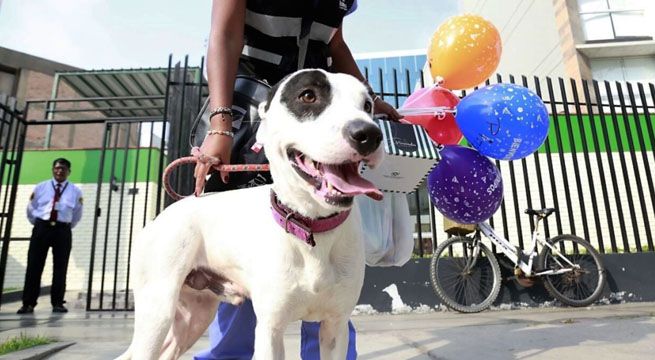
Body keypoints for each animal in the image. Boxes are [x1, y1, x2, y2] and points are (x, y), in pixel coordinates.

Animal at [118, 69, 384, 358]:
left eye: (367, 105)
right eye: (308, 95)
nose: (369, 133)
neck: (310, 226)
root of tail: (165, 213)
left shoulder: (335, 327)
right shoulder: (270, 329)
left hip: (194, 314)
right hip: (158, 310)